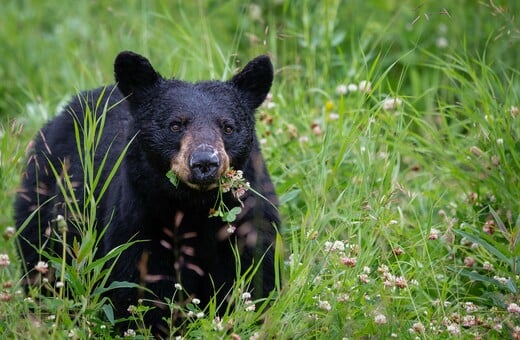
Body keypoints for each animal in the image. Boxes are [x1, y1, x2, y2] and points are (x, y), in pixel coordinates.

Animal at [14, 51, 280, 336]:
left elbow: (255, 275)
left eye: (228, 127)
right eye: (175, 125)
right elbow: (142, 287)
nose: (205, 162)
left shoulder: (249, 219)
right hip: (42, 203)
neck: (194, 207)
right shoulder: (139, 220)